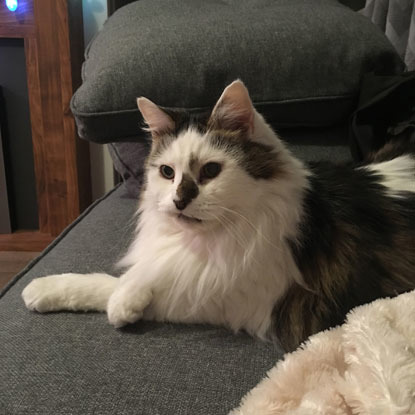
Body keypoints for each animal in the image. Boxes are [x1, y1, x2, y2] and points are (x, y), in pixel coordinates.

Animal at [22, 80, 415, 352]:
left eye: (211, 171)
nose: (179, 201)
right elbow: (125, 275)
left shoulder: (232, 296)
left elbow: (124, 284)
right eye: (167, 173)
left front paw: (117, 304)